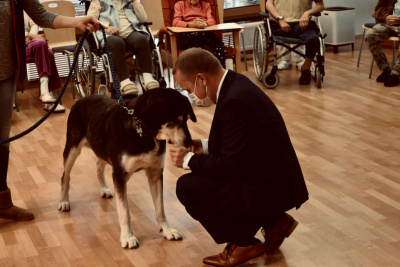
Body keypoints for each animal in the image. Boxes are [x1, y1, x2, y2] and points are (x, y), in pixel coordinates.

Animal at [58, 89, 196, 249]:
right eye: (173, 121)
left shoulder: (155, 173)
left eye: (186, 120)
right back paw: (63, 201)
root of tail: (85, 97)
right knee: (65, 176)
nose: (189, 144)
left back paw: (104, 188)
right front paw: (127, 237)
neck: (143, 132)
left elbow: (160, 208)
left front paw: (167, 230)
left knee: (99, 165)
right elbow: (125, 212)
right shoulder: (119, 175)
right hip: (72, 149)